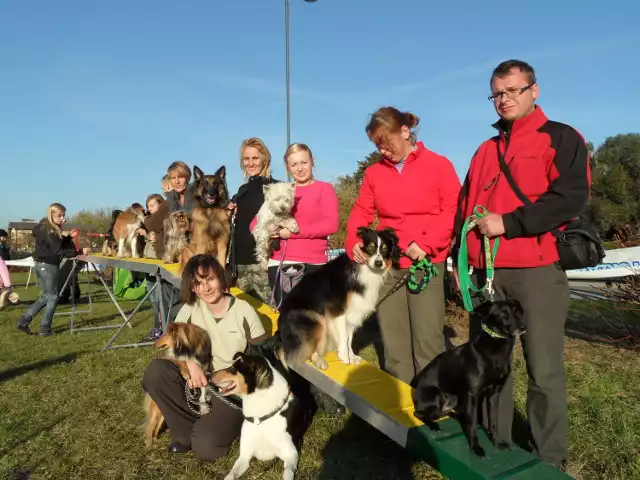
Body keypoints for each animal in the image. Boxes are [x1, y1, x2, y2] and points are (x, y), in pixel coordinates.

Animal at [144, 320, 212, 448]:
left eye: (166, 334)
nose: (153, 345)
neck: (186, 349)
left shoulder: (204, 370)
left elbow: (202, 391)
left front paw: (203, 407)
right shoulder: (171, 357)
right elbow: (180, 361)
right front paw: (185, 372)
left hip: (162, 415)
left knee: (156, 428)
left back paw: (156, 440)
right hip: (156, 413)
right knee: (150, 426)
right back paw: (149, 443)